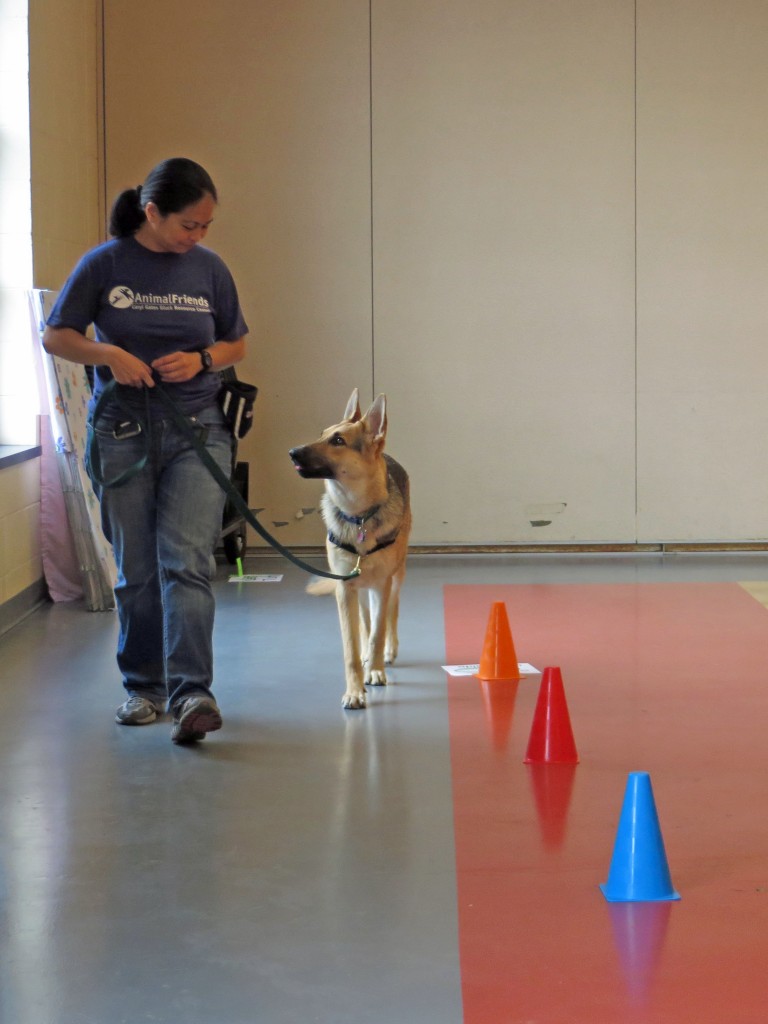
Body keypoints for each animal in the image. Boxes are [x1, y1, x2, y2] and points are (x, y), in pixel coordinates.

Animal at [288, 387, 411, 708]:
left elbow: (379, 631)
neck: (359, 517)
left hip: (395, 577)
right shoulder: (345, 590)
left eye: (338, 441)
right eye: (322, 434)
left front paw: (376, 670)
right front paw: (355, 689)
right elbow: (351, 647)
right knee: (365, 622)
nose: (292, 452)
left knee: (391, 613)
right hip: (359, 588)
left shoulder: (382, 585)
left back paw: (388, 651)